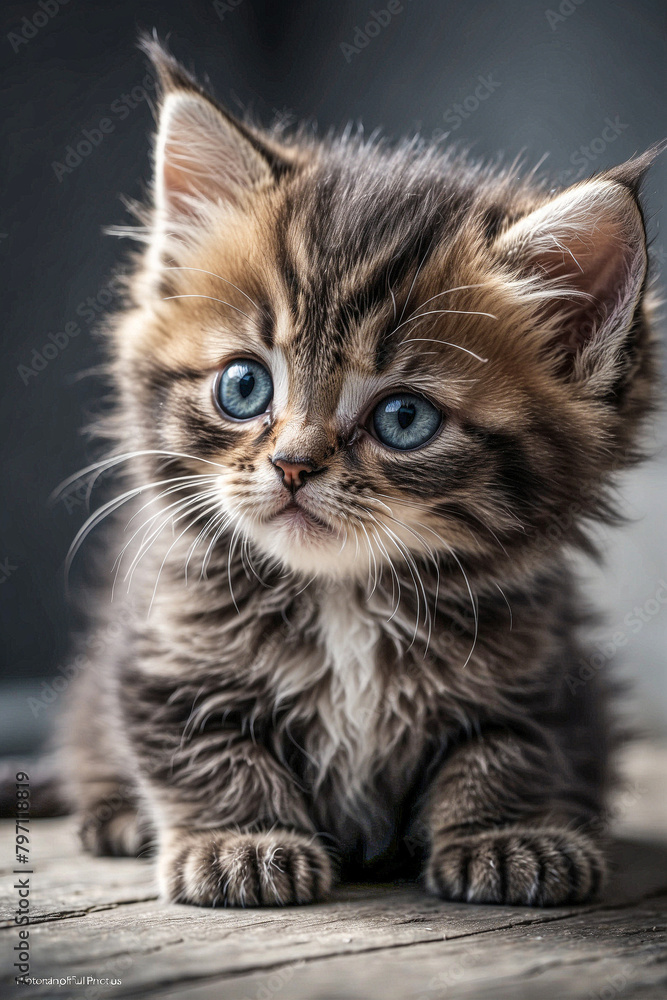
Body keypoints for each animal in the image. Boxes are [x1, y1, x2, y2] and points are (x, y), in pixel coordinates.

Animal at [60, 39, 660, 912]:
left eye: (403, 419)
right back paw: (116, 814)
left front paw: (506, 834)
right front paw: (243, 840)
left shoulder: (549, 676)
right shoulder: (160, 655)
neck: (344, 597)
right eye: (244, 386)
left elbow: (509, 747)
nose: (291, 465)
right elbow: (204, 747)